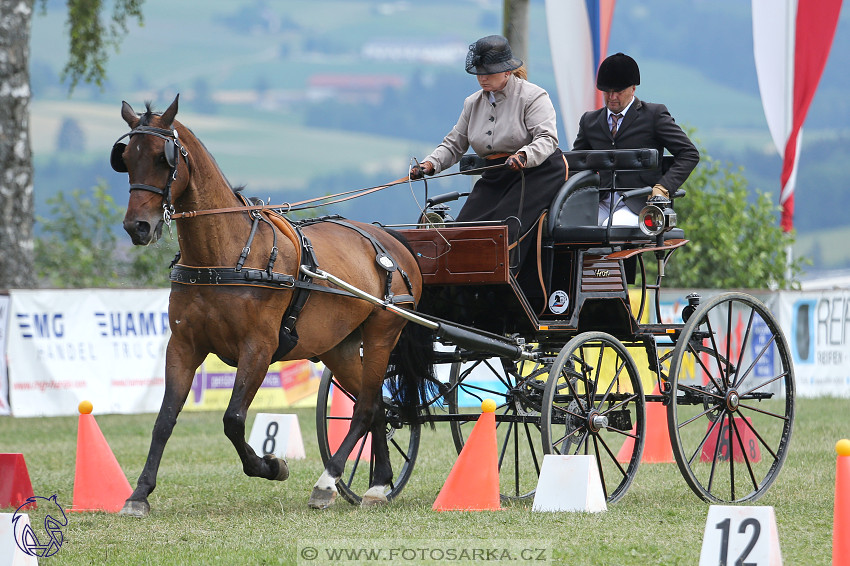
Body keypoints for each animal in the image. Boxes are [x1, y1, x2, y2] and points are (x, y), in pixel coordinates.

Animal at [110, 95, 434, 516]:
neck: (225, 254)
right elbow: (165, 419)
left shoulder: (259, 348)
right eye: (126, 158)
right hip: (339, 347)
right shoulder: (183, 345)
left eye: (163, 158)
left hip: (381, 335)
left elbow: (232, 419)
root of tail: (392, 240)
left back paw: (328, 482)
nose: (138, 227)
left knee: (365, 406)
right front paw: (140, 493)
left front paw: (271, 465)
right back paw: (378, 484)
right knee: (377, 404)